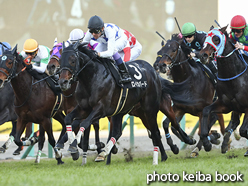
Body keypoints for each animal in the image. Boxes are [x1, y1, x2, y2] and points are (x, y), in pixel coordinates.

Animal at [57, 42, 196, 165]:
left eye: (73, 60)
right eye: (60, 61)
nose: (63, 82)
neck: (92, 78)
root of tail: (153, 72)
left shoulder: (101, 109)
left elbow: (85, 123)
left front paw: (73, 146)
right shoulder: (83, 108)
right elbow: (68, 119)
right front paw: (73, 148)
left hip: (151, 108)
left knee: (166, 125)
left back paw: (185, 142)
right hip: (130, 112)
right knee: (134, 132)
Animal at [199, 25, 248, 155]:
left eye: (216, 39)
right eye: (205, 38)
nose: (202, 55)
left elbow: (243, 130)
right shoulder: (225, 105)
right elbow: (206, 110)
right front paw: (206, 142)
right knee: (234, 123)